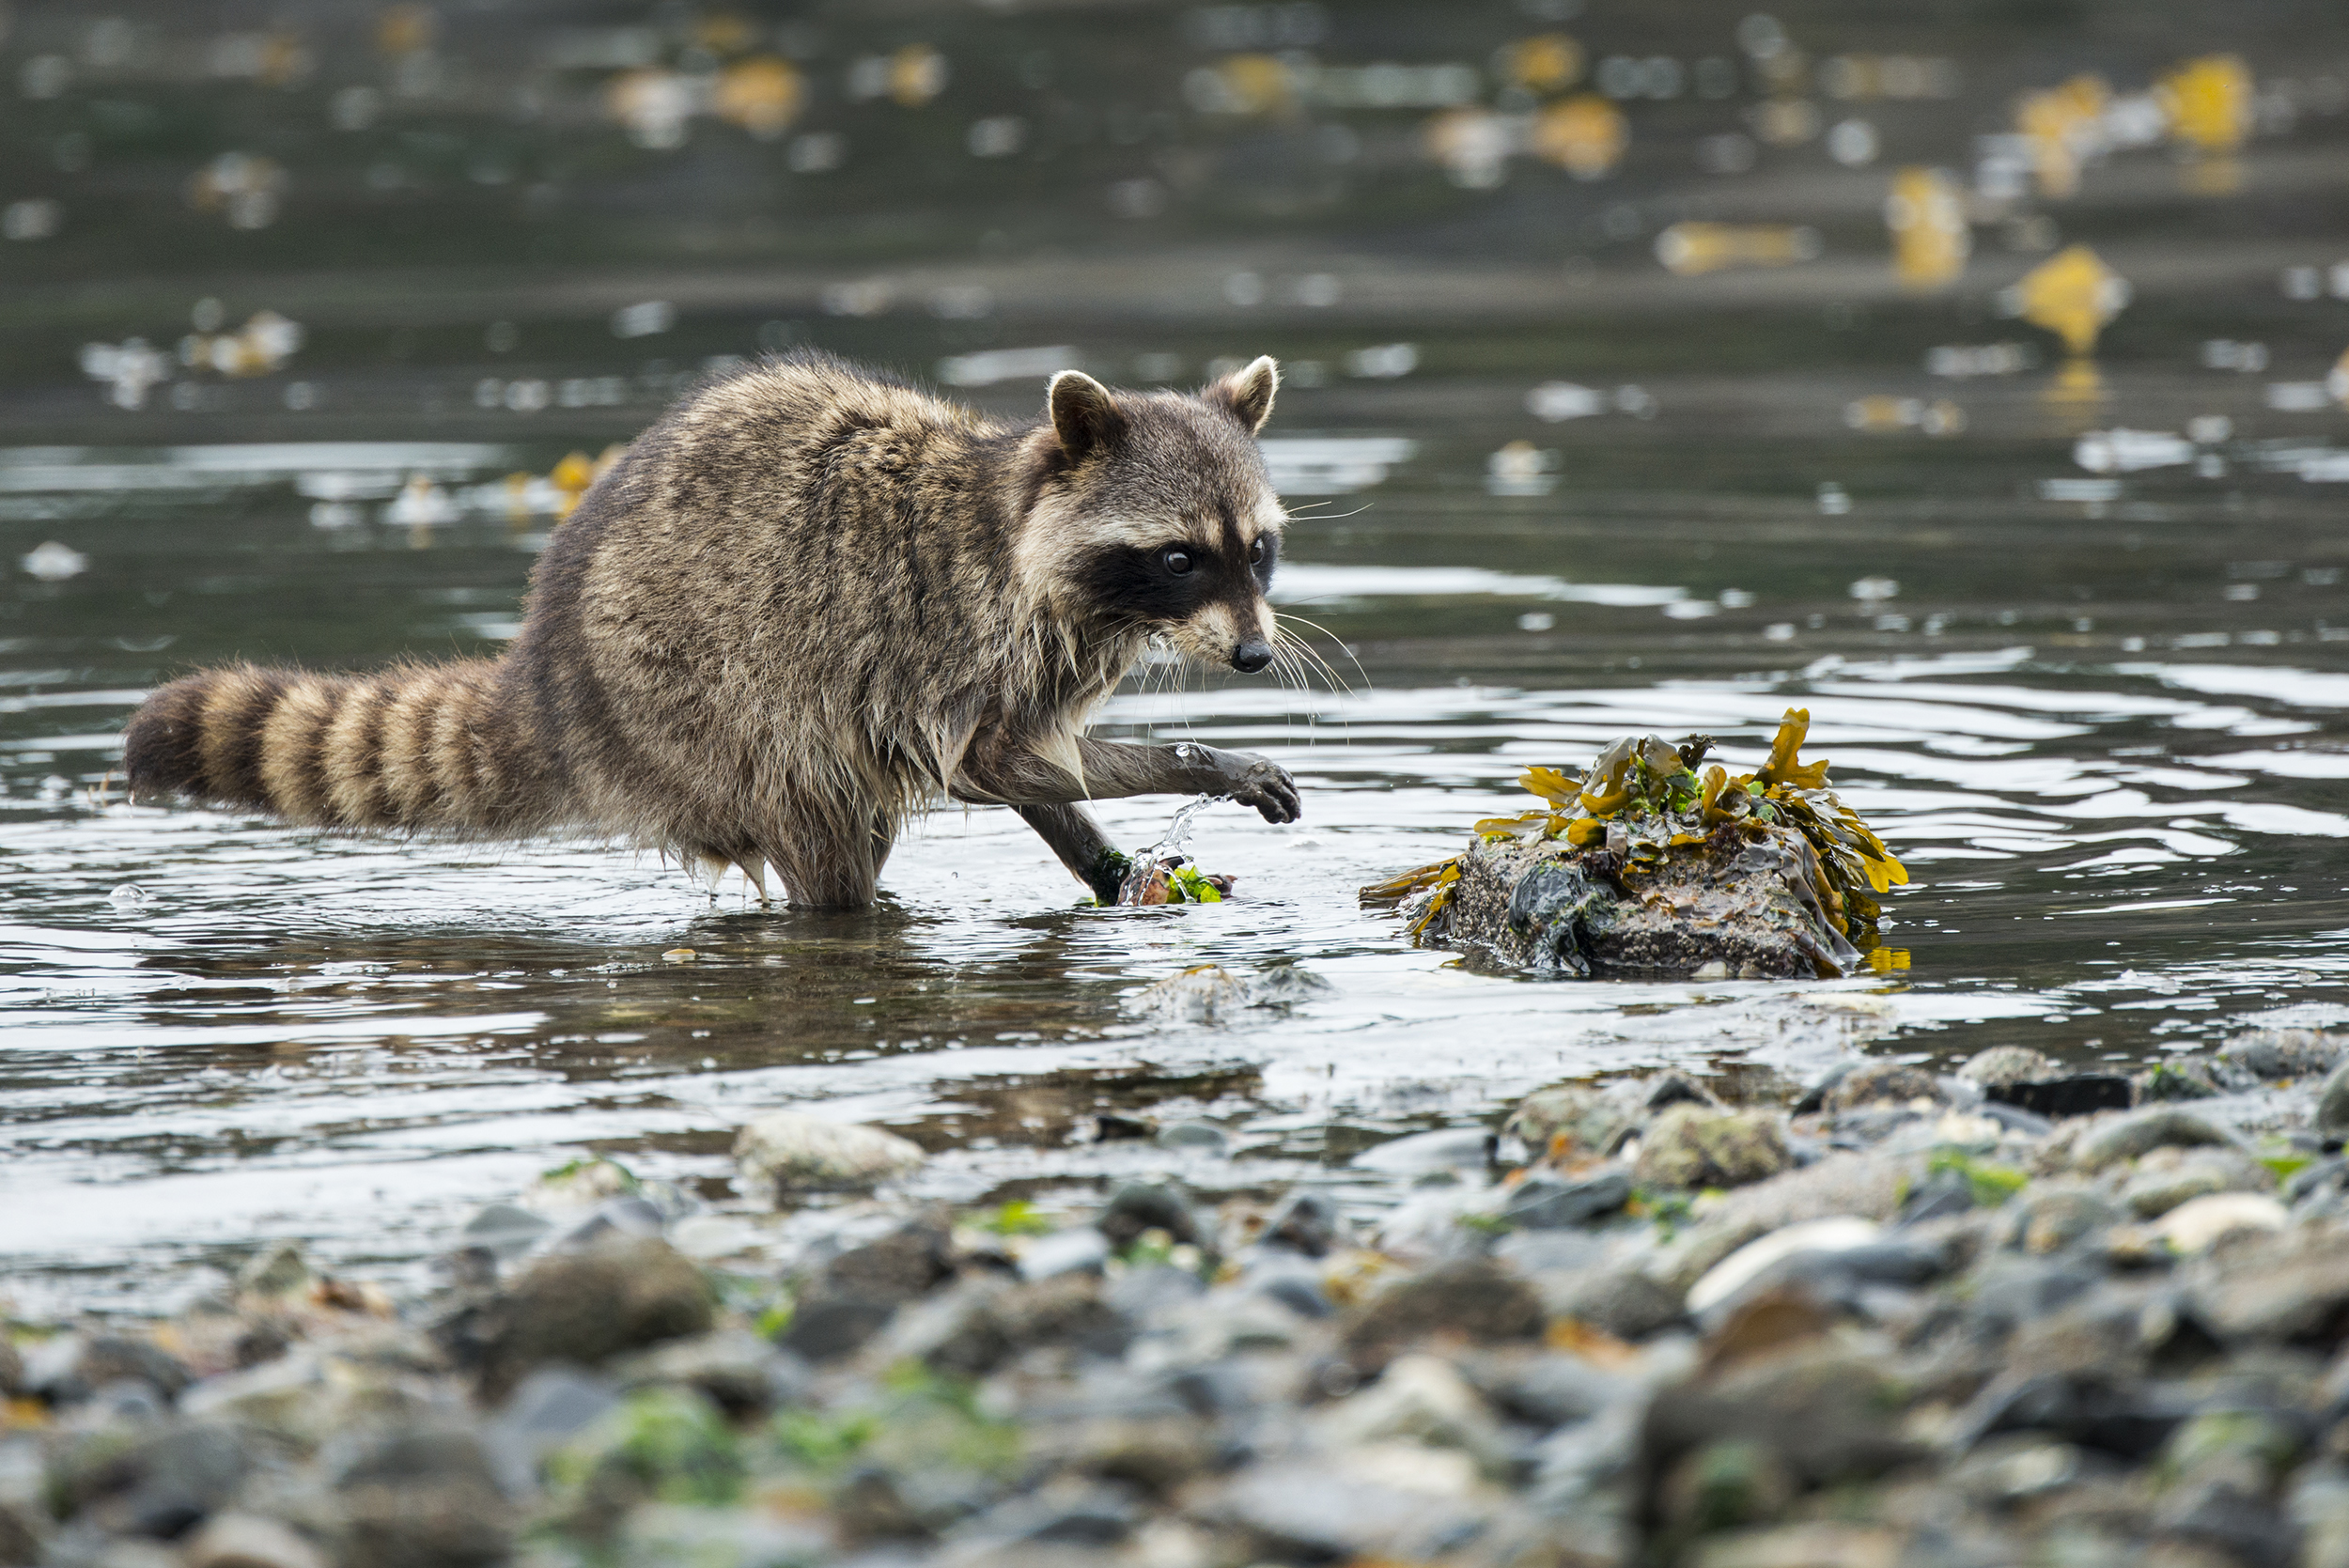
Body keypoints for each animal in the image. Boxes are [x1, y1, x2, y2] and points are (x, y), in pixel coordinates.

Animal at [118, 347, 1306, 901]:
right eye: (1179, 556)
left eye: (1256, 547)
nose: (1253, 654)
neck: (1018, 511)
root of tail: (549, 675)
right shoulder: (960, 642)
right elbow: (991, 761)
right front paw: (1202, 763)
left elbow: (1032, 771)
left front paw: (1105, 863)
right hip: (706, 713)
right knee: (818, 828)